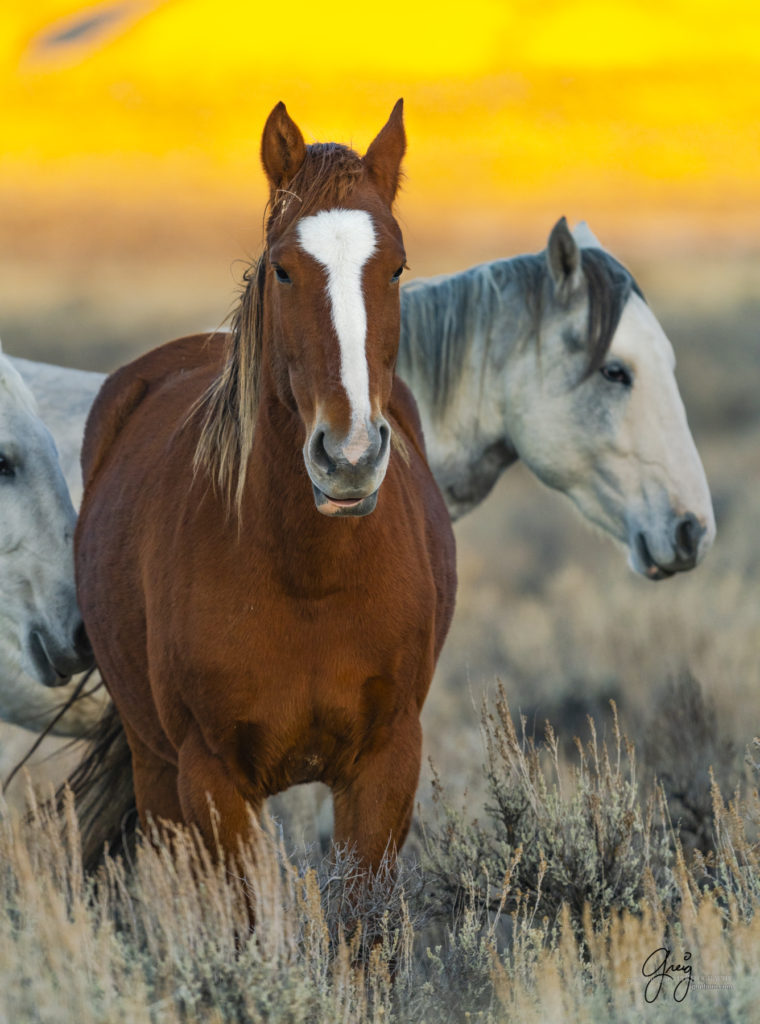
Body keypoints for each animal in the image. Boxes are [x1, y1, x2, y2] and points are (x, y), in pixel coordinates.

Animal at [74, 105, 458, 872]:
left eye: (397, 268)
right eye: (283, 269)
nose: (349, 456)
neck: (309, 575)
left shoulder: (386, 767)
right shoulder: (212, 778)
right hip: (155, 766)